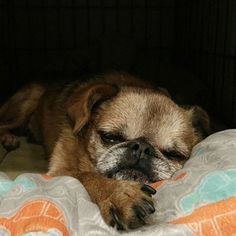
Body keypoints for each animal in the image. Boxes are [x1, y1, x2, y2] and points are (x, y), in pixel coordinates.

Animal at [0, 72, 210, 230]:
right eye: (110, 137)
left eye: (174, 155)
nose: (142, 147)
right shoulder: (61, 171)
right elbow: (87, 176)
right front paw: (118, 194)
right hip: (27, 103)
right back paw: (9, 138)